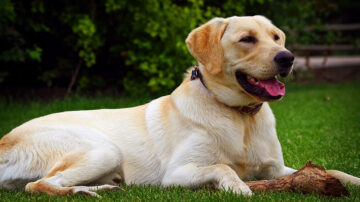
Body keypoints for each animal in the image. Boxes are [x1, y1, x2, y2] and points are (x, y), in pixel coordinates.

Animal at [0, 16, 360, 197]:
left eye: (276, 37)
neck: (239, 116)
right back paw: (85, 192)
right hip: (102, 149)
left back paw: (101, 187)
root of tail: (4, 140)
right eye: (247, 39)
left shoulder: (276, 170)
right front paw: (238, 186)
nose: (287, 58)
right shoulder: (177, 174)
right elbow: (223, 166)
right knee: (38, 185)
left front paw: (352, 180)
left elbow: (331, 170)